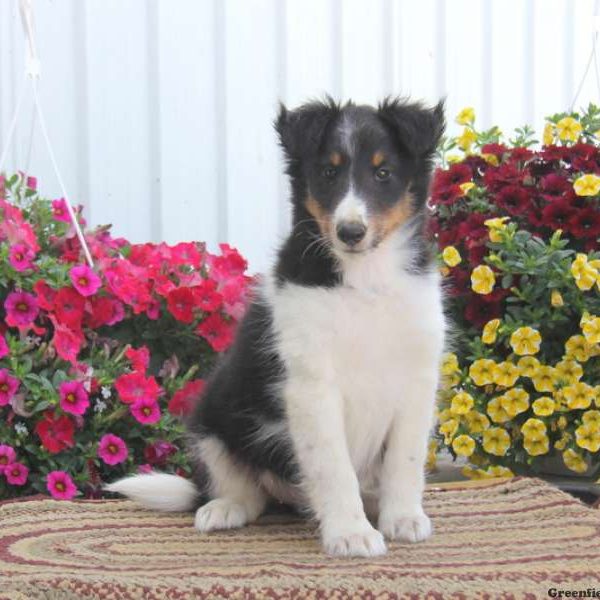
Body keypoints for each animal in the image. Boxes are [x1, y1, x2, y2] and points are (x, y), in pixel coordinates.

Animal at [106, 97, 446, 556]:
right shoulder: (311, 385)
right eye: (328, 173)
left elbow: (405, 461)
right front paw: (351, 533)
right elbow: (334, 467)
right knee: (243, 489)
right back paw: (223, 508)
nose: (350, 232)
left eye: (383, 173)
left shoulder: (416, 378)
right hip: (213, 417)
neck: (366, 277)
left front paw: (404, 518)